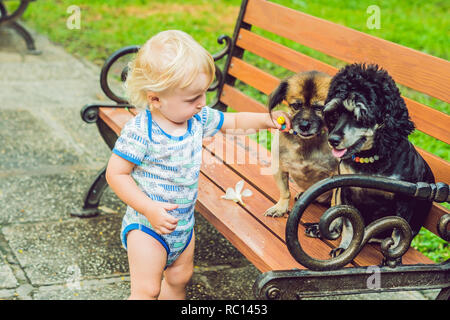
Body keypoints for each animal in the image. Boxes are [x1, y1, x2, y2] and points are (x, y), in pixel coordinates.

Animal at [264, 71, 338, 216]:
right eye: (296, 106)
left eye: (319, 108)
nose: (304, 125)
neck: (306, 142)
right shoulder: (280, 167)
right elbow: (285, 192)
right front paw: (281, 207)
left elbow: (336, 202)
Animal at [322, 63, 434, 258]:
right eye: (335, 114)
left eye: (359, 116)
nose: (333, 139)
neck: (371, 163)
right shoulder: (346, 191)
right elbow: (349, 225)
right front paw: (345, 248)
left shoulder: (404, 202)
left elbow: (399, 232)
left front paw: (394, 257)